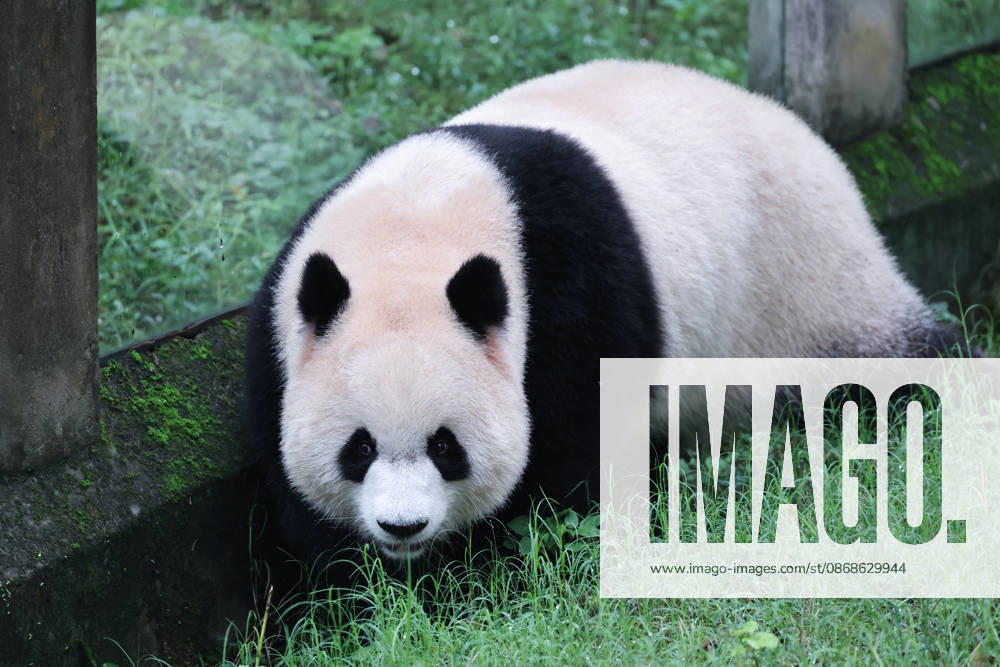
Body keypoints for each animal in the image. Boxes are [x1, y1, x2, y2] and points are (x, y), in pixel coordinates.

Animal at [245, 59, 960, 570]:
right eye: (359, 447)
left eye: (446, 446)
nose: (402, 526)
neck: (418, 223)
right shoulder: (284, 320)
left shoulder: (574, 289)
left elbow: (570, 453)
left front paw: (480, 568)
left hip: (803, 277)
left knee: (882, 363)